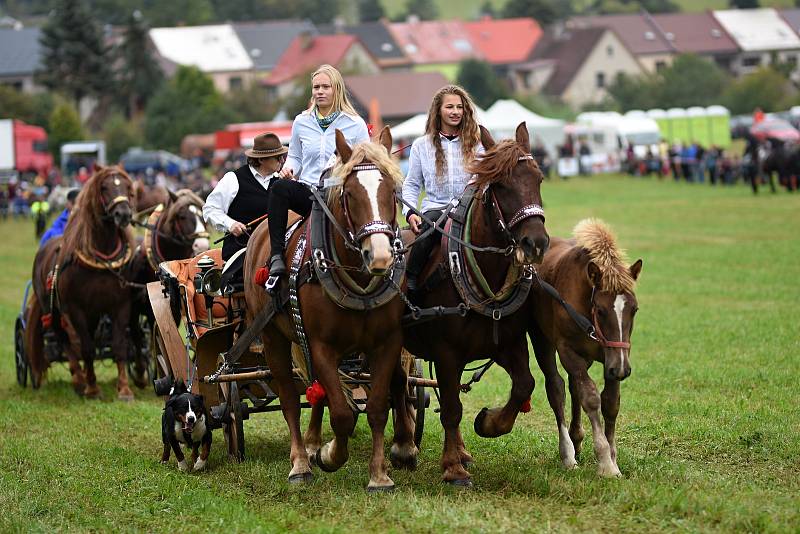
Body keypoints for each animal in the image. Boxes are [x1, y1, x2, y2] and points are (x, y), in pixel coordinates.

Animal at [25, 165, 137, 400]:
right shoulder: (76, 309)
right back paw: (79, 379)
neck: (103, 260)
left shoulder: (121, 305)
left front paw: (124, 389)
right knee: (65, 341)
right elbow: (86, 348)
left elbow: (119, 346)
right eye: (104, 187)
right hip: (53, 310)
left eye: (127, 186)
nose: (123, 214)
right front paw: (92, 388)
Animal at [244, 127, 410, 492]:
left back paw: (311, 442)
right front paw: (331, 455)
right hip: (273, 337)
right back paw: (300, 462)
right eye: (349, 194)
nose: (380, 256)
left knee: (317, 393)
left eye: (392, 191)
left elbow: (376, 407)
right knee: (290, 400)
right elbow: (343, 415)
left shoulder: (387, 343)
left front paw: (379, 475)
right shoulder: (321, 346)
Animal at [400, 123, 552, 488]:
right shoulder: (446, 353)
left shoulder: (508, 343)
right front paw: (453, 469)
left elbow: (524, 385)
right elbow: (452, 409)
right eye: (500, 185)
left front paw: (488, 423)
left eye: (538, 178)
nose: (536, 243)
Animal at [524, 220, 644, 480]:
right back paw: (568, 453)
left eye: (635, 309)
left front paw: (613, 458)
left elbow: (610, 402)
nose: (623, 369)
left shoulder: (611, 358)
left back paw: (577, 440)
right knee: (557, 388)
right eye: (600, 310)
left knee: (573, 386)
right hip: (542, 341)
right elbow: (590, 397)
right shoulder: (569, 351)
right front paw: (605, 462)